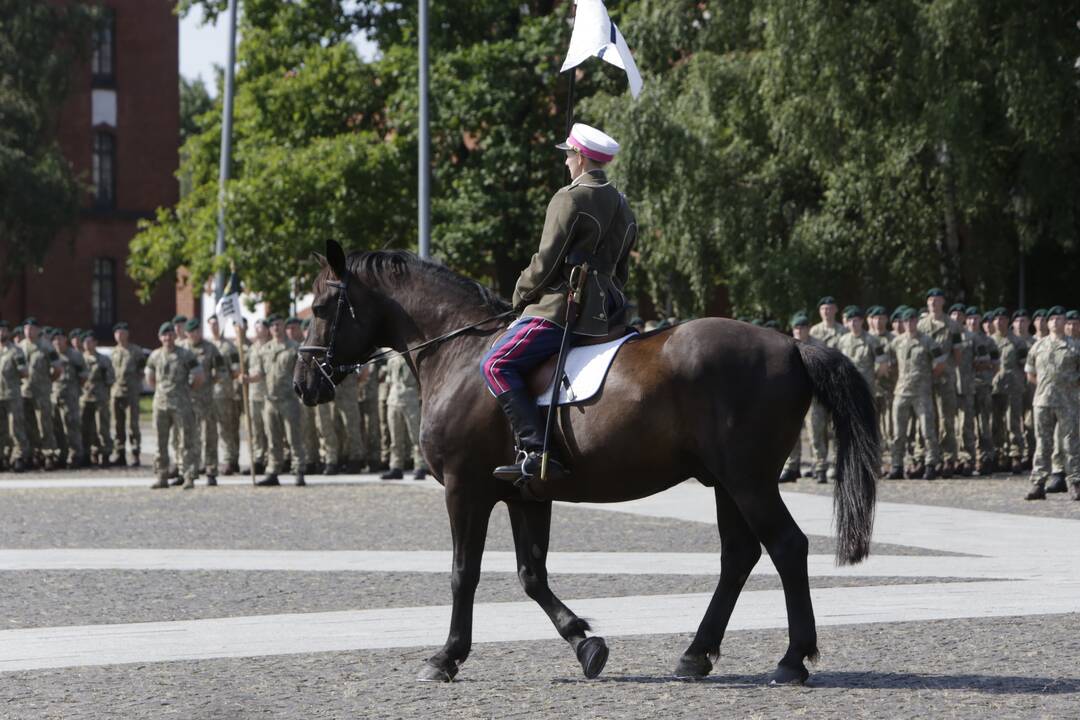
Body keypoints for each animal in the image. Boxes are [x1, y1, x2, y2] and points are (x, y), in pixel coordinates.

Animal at [293, 241, 876, 686]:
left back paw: (792, 660)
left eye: (319, 309)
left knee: (786, 547)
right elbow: (532, 575)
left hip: (749, 480)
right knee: (739, 555)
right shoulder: (526, 494)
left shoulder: (465, 490)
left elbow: (464, 573)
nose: (303, 385)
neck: (460, 354)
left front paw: (446, 657)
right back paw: (695, 655)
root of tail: (790, 346)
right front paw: (585, 644)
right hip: (725, 484)